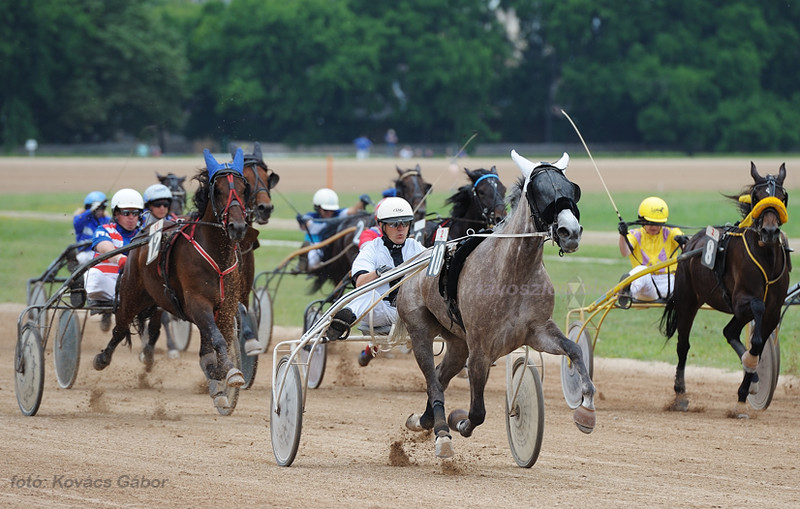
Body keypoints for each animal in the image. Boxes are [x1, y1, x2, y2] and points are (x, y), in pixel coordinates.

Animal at [94, 147, 250, 408]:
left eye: (243, 188)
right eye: (218, 191)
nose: (237, 226)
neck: (217, 257)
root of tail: (142, 234)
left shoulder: (226, 305)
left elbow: (220, 339)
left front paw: (219, 373)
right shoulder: (197, 302)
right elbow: (218, 339)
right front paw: (230, 371)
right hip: (131, 294)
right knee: (120, 328)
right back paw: (102, 358)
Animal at [396, 150, 596, 456]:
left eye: (572, 189)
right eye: (538, 191)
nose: (570, 232)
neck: (513, 273)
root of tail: (416, 261)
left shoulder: (537, 331)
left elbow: (573, 349)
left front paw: (586, 407)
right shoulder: (480, 349)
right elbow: (477, 412)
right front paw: (460, 422)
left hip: (458, 342)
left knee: (439, 377)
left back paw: (425, 420)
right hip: (420, 330)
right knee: (433, 380)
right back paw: (442, 433)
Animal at [660, 161, 792, 414]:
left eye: (783, 196)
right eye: (756, 196)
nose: (770, 232)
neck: (766, 258)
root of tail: (689, 243)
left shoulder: (773, 311)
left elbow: (758, 343)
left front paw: (745, 392)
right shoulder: (742, 300)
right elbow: (757, 315)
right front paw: (749, 375)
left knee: (729, 332)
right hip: (687, 300)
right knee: (683, 345)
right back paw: (680, 395)